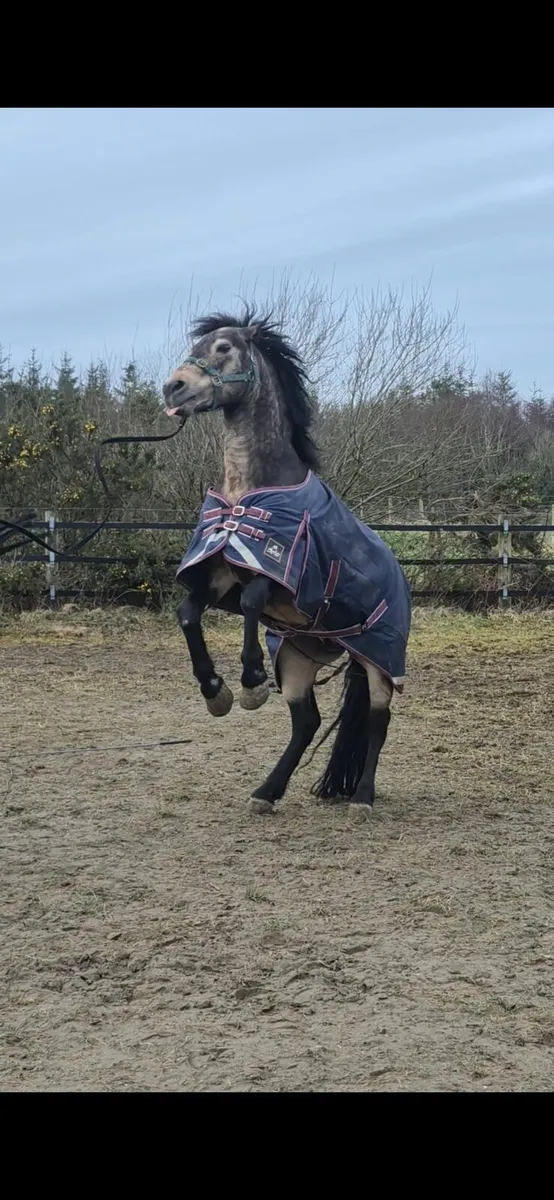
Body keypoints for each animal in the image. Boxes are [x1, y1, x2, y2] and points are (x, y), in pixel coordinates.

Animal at [162, 310, 411, 821]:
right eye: (196, 346)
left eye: (223, 348)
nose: (172, 388)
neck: (247, 495)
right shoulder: (219, 578)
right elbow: (188, 614)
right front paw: (216, 691)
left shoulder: (279, 577)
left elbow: (253, 602)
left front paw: (252, 681)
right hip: (299, 660)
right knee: (307, 722)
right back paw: (266, 791)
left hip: (379, 662)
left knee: (378, 721)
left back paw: (362, 799)